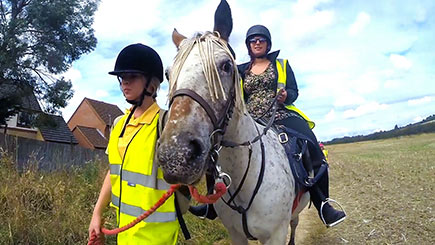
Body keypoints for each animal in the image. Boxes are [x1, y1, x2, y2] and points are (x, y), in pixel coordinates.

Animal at [157, 0, 310, 244]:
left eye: (226, 66)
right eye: (168, 74)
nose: (176, 156)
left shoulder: (276, 234)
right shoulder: (235, 233)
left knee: (295, 225)